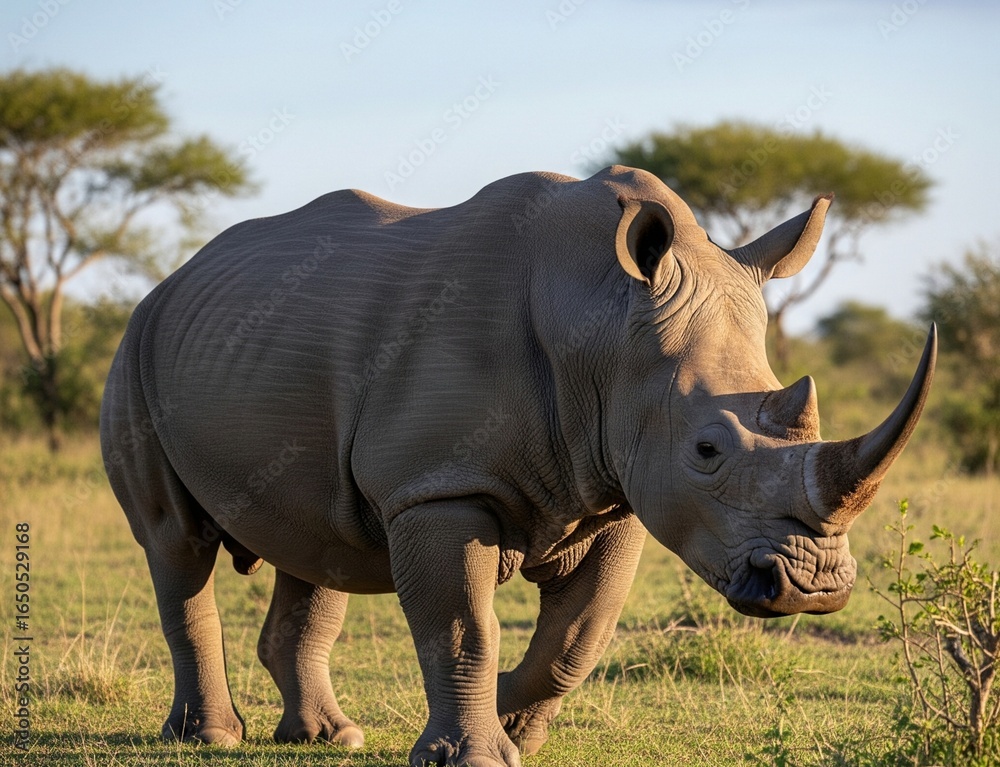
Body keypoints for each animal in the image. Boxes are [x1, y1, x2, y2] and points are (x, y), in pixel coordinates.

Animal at [101, 165, 935, 766]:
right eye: (707, 451)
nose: (814, 586)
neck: (601, 322)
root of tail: (174, 279)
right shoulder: (439, 486)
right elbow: (465, 624)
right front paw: (474, 754)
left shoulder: (615, 491)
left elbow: (579, 635)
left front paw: (512, 722)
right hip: (135, 351)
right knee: (176, 541)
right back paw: (210, 737)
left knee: (315, 541)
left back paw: (330, 736)